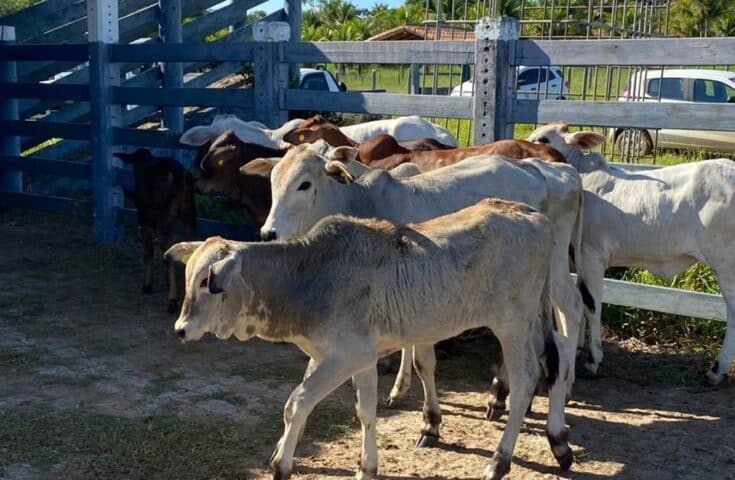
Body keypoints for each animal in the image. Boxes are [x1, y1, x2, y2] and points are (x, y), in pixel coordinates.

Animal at [168, 199, 576, 480]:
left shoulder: (342, 357)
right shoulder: (354, 358)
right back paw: (559, 445)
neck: (309, 276)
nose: (180, 329)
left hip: (513, 324)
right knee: (553, 363)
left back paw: (500, 460)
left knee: (527, 379)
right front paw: (367, 466)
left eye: (206, 281)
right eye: (188, 277)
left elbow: (296, 403)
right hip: (529, 323)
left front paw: (281, 465)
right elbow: (364, 411)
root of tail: (534, 216)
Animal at [244, 142, 596, 408]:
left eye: (304, 184)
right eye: (273, 182)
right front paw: (400, 389)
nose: (268, 233)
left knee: (571, 307)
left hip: (552, 264)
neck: (359, 199)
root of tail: (547, 172)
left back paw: (559, 383)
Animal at [528, 122, 735, 384]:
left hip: (726, 265)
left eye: (543, 139)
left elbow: (592, 306)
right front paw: (578, 348)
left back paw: (717, 370)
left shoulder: (592, 256)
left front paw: (593, 359)